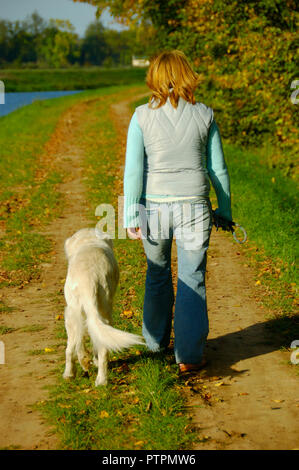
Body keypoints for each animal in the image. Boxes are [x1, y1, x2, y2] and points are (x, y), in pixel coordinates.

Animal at [62, 228, 145, 386]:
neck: (89, 241)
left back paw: (73, 373)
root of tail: (88, 280)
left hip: (73, 314)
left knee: (72, 348)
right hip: (100, 314)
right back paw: (100, 379)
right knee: (97, 346)